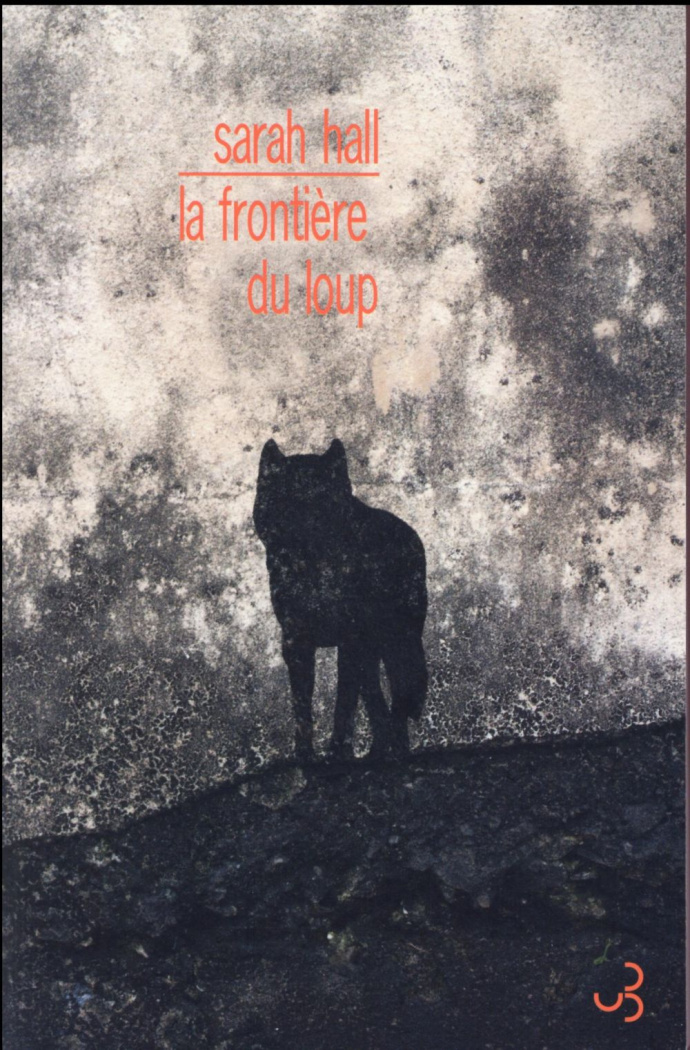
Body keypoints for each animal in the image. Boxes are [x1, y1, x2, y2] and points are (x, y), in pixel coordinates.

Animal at [253, 438, 428, 761]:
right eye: (286, 501)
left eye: (324, 502)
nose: (305, 527)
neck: (316, 574)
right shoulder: (296, 642)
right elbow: (302, 705)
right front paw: (305, 755)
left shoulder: (350, 641)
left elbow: (344, 702)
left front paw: (337, 752)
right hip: (373, 652)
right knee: (376, 698)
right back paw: (380, 751)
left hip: (398, 640)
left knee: (401, 689)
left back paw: (395, 754)